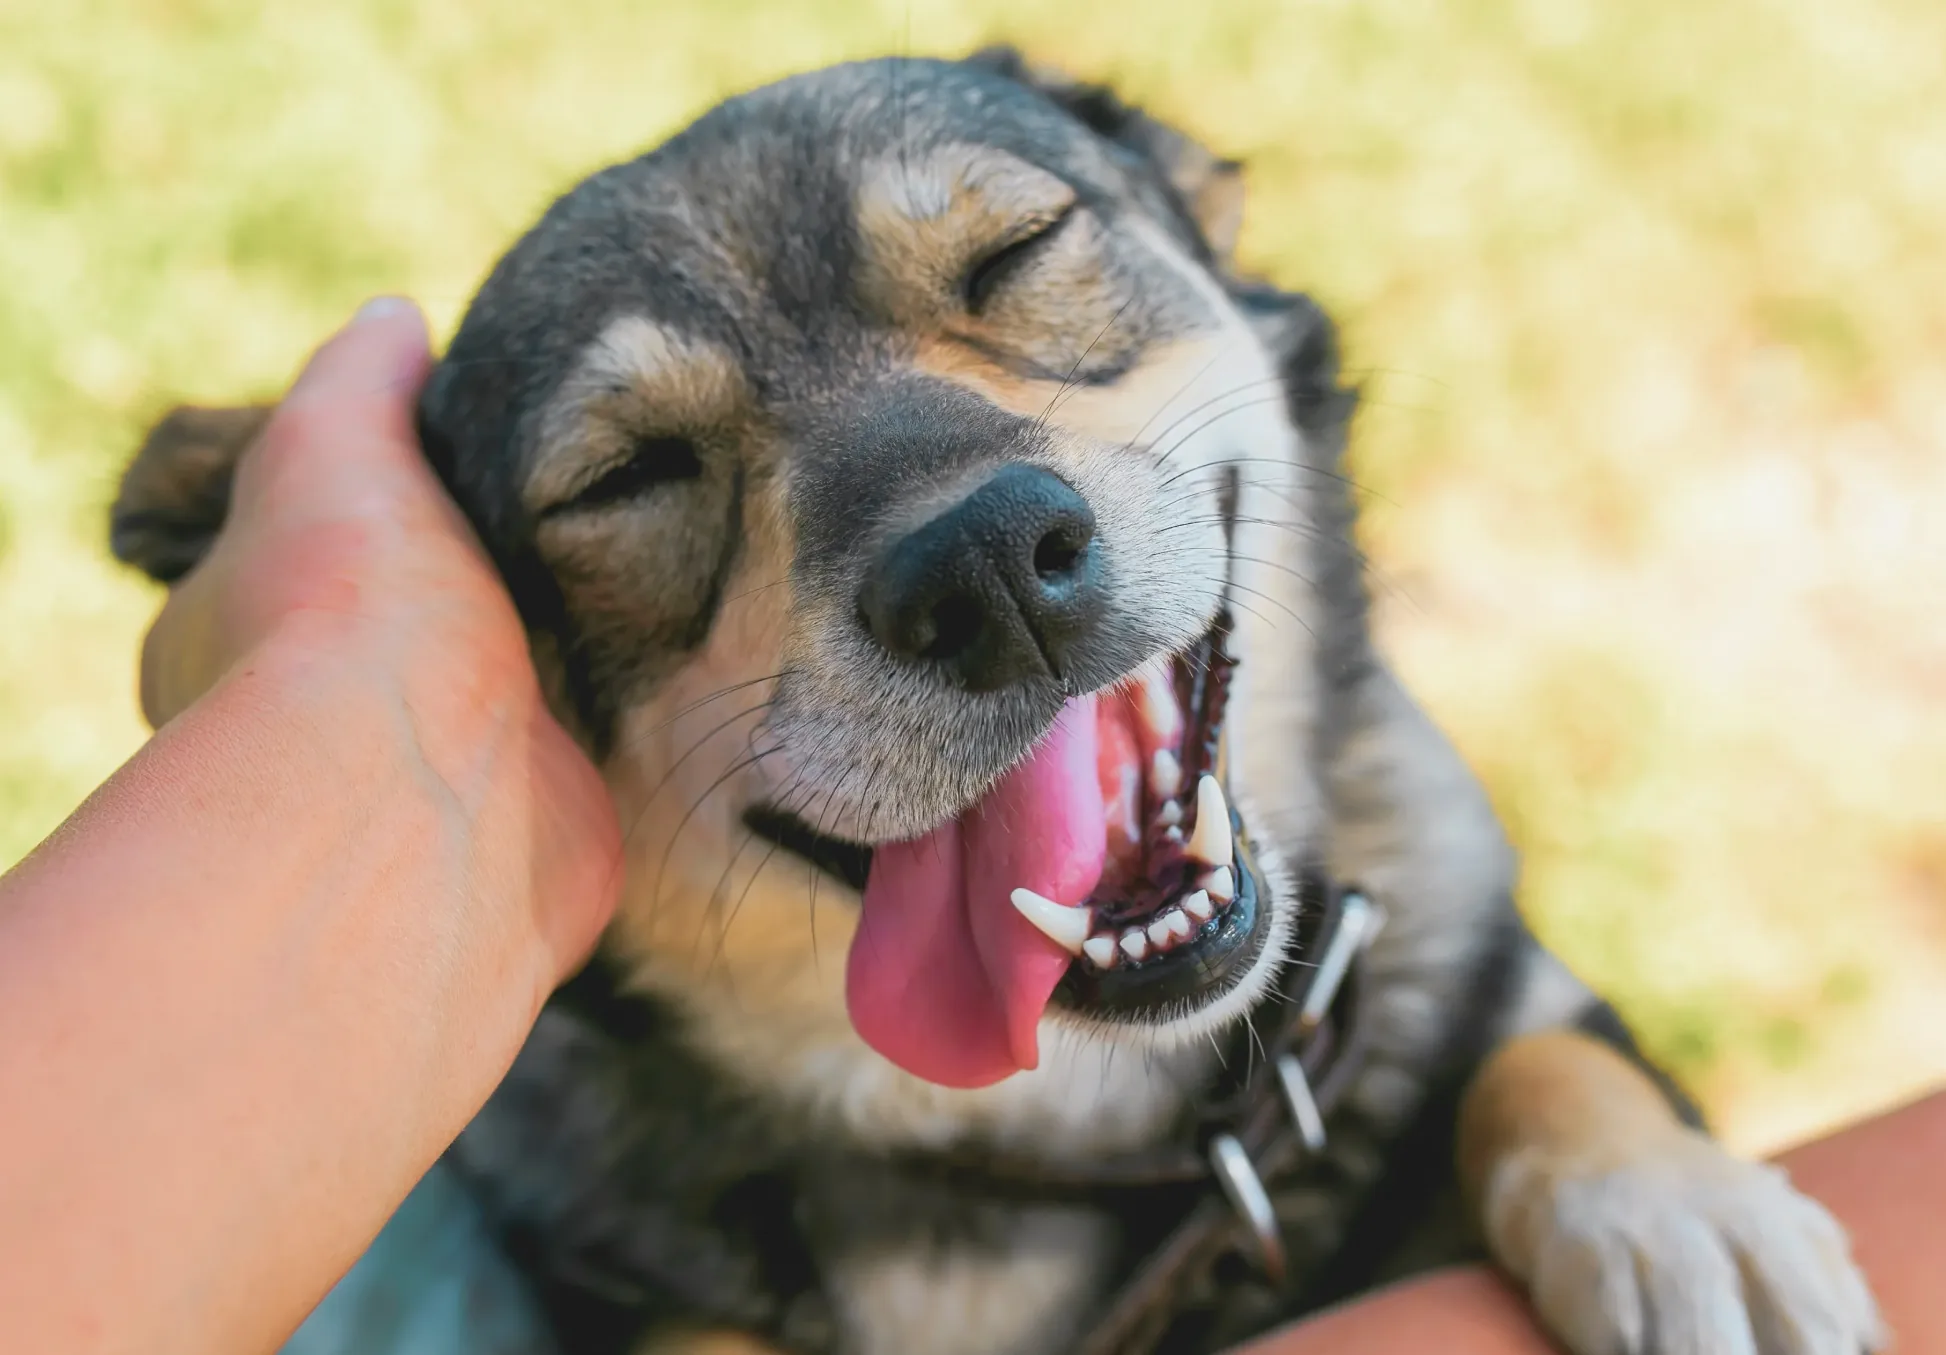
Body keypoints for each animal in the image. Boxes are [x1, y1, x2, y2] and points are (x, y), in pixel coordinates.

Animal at [113, 50, 1875, 1355]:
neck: (1079, 1126)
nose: (984, 568)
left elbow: (1542, 1057)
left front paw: (1675, 1207)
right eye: (626, 478)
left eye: (1016, 252)